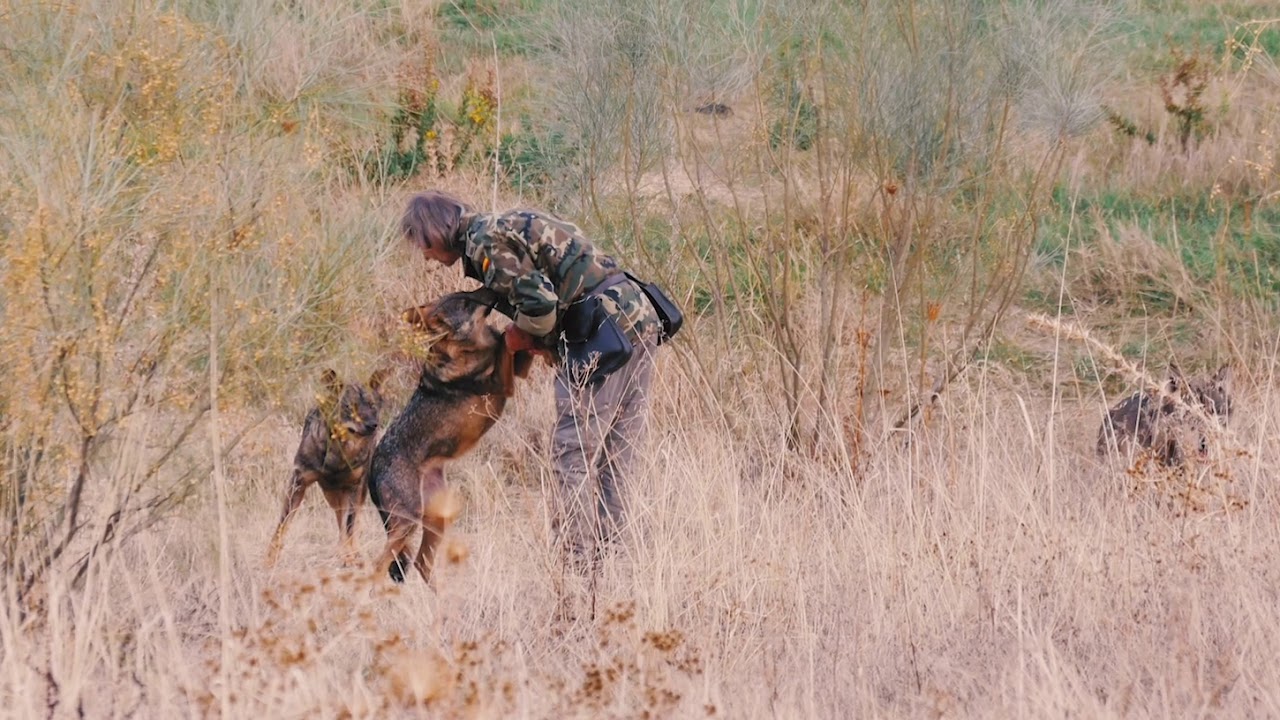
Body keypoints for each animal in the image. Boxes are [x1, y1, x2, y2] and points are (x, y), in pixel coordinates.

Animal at [267, 368, 388, 565]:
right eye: (350, 406)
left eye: (372, 405)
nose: (372, 425)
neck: (339, 454)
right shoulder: (298, 482)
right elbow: (281, 526)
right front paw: (269, 560)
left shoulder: (355, 487)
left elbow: (350, 526)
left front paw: (350, 557)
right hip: (331, 494)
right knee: (340, 522)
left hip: (357, 493)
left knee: (351, 525)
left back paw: (353, 553)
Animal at [368, 288, 534, 584]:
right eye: (467, 302)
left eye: (468, 293)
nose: (492, 289)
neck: (471, 347)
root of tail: (370, 474)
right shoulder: (503, 384)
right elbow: (504, 341)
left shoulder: (518, 372)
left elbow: (512, 346)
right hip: (407, 525)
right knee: (380, 567)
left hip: (437, 521)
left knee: (422, 564)